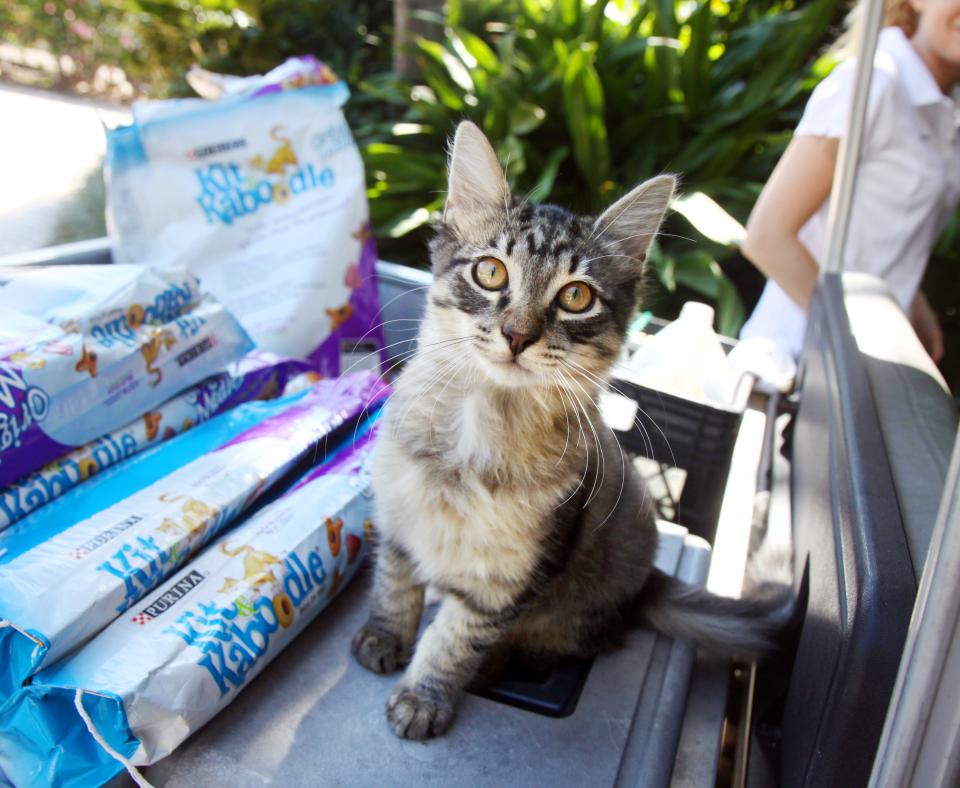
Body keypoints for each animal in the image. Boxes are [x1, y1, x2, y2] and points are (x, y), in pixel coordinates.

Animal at [352, 121, 788, 740]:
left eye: (575, 296)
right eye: (490, 272)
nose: (517, 335)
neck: (479, 426)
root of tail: (647, 581)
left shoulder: (509, 578)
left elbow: (454, 640)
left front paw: (423, 698)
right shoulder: (400, 520)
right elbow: (394, 585)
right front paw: (384, 637)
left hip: (570, 613)